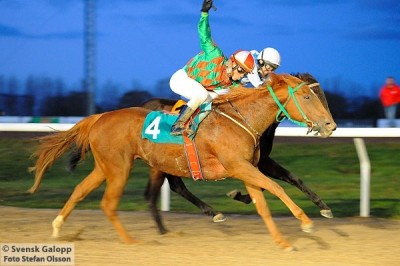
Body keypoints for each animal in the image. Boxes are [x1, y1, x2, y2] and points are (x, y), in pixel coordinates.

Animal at [28, 73, 336, 251]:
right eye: (307, 95)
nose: (330, 125)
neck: (242, 119)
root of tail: (99, 117)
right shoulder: (241, 167)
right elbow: (277, 188)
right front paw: (306, 222)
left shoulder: (248, 168)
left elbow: (263, 204)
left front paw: (283, 242)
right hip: (121, 167)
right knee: (110, 202)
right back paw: (133, 240)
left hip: (107, 166)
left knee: (81, 190)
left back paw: (57, 227)